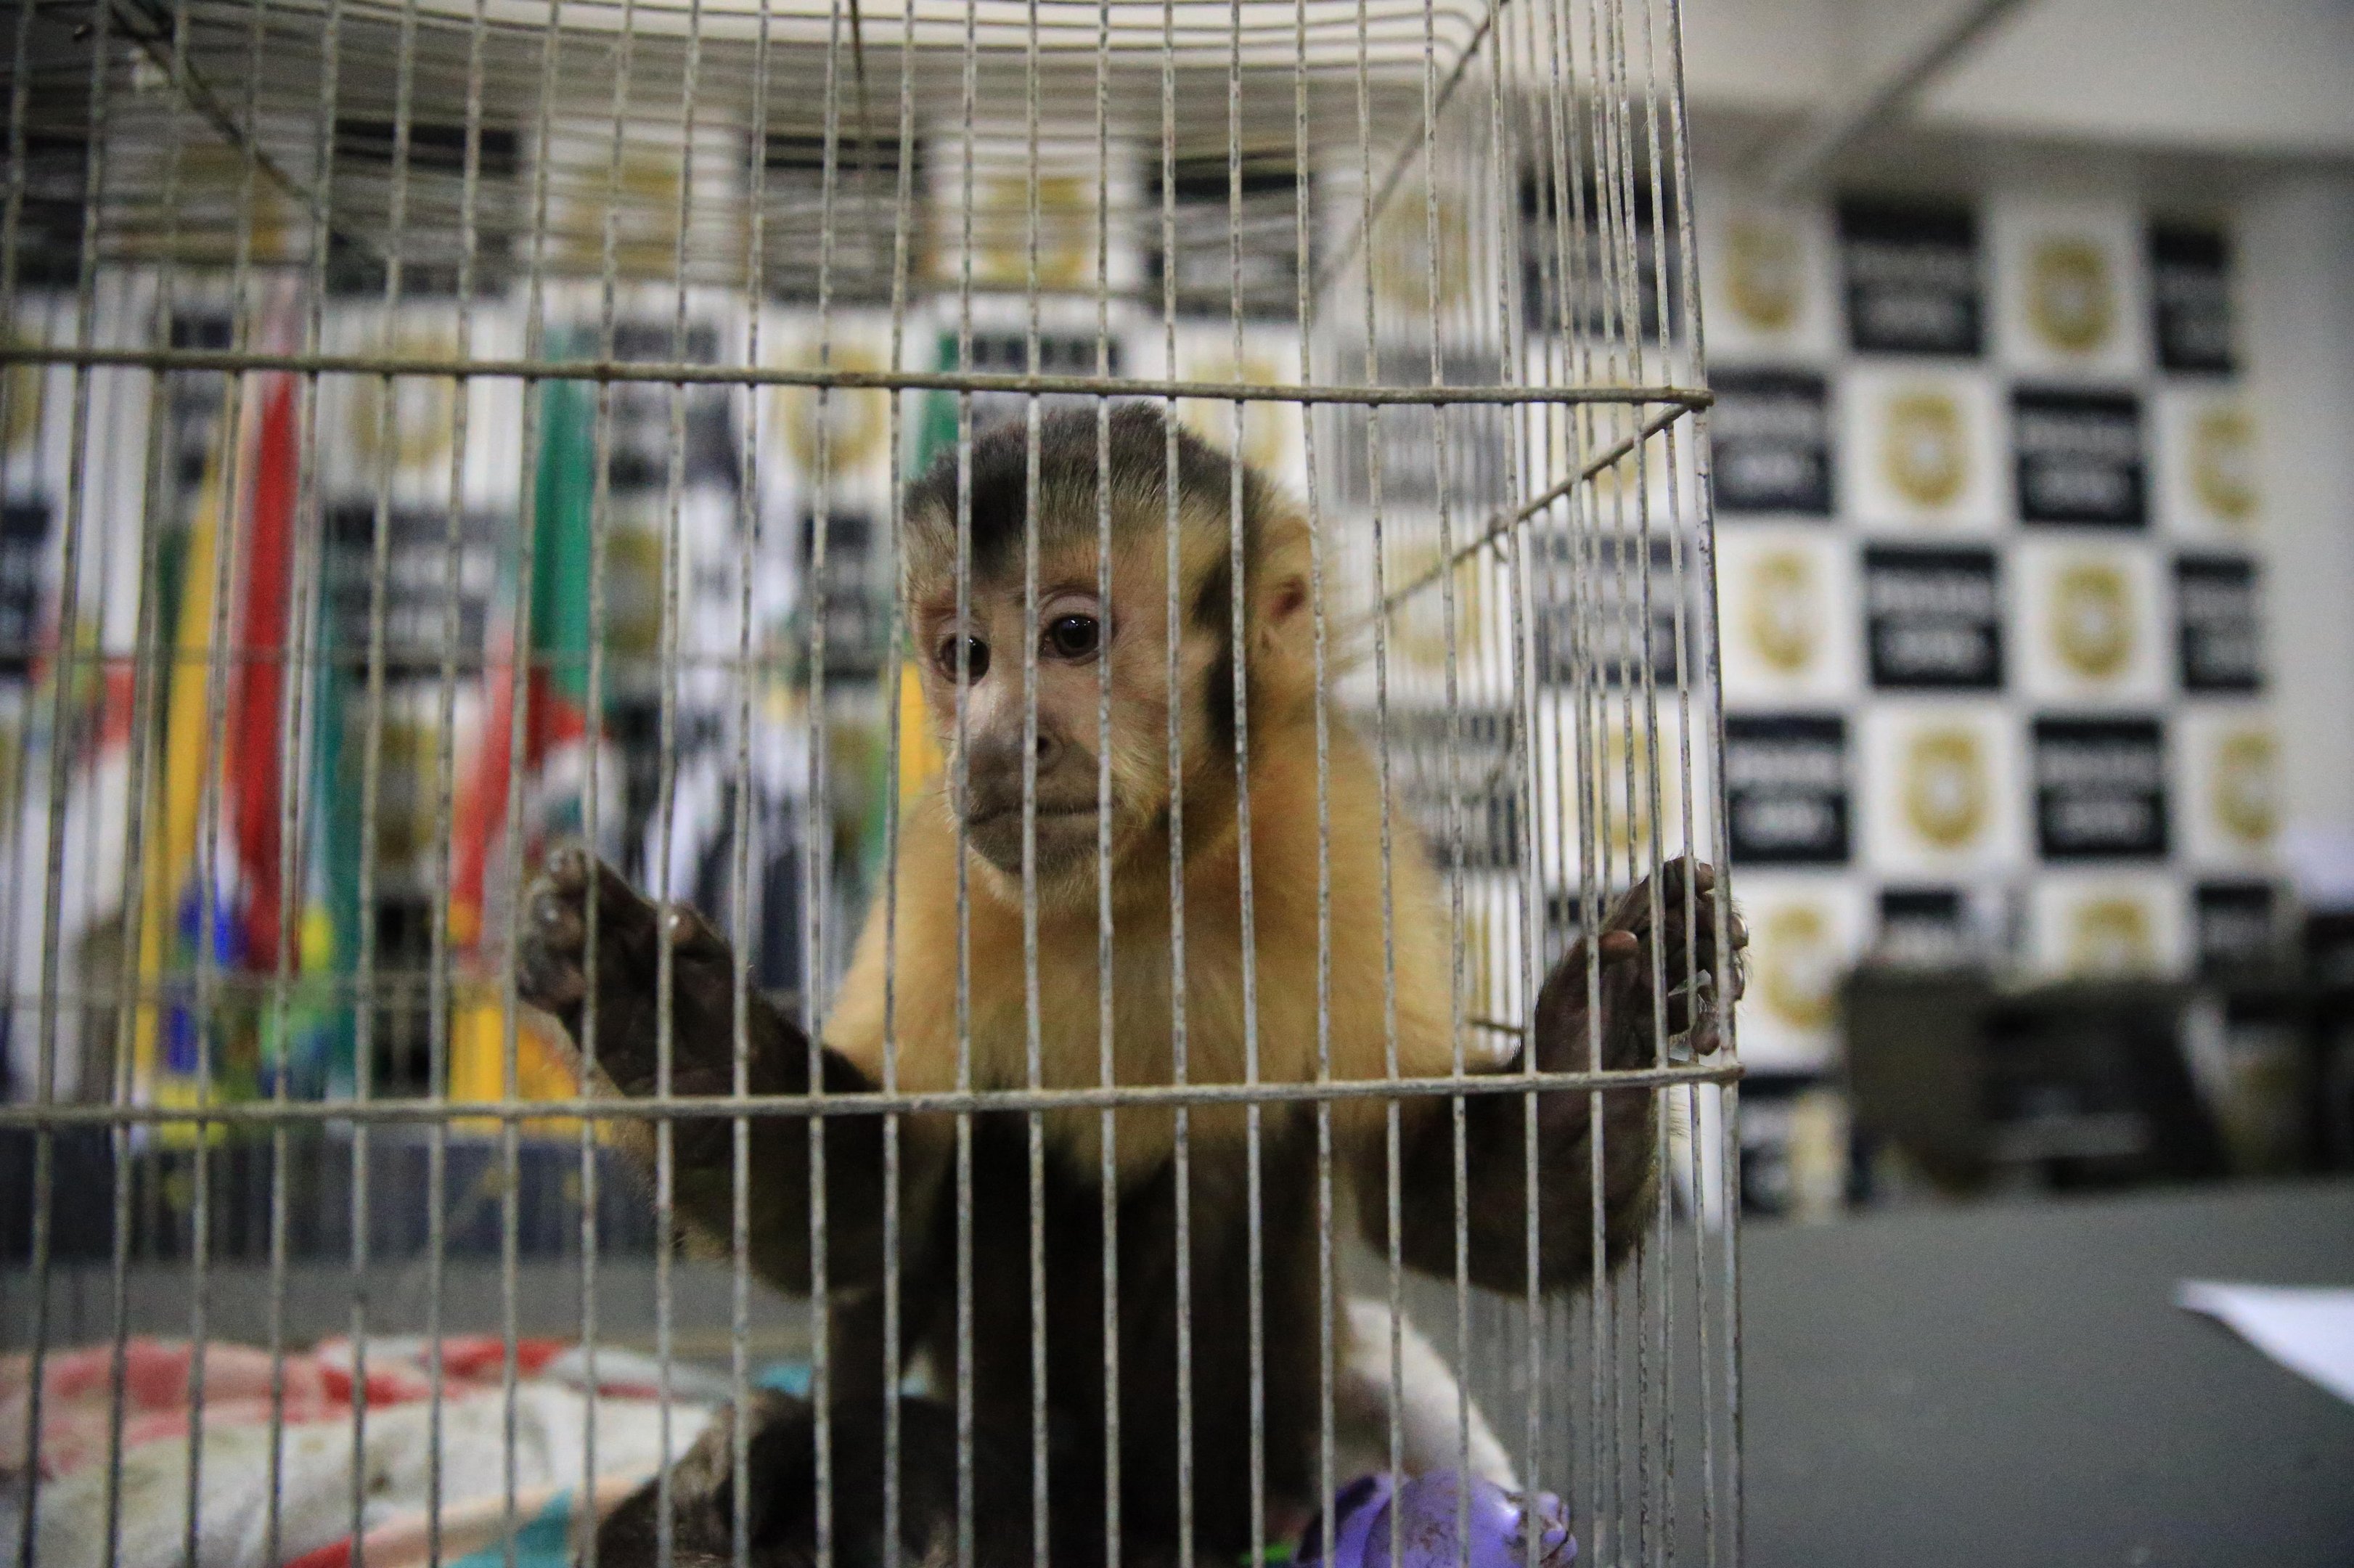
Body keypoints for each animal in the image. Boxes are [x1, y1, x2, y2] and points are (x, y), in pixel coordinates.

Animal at [516, 401, 1743, 1568]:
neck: (1143, 876)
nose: (998, 743)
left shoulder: (1336, 823)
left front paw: (1609, 1026)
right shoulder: (940, 868)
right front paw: (660, 1020)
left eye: (1071, 636)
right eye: (964, 656)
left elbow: (1437, 1196)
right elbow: (869, 1197)